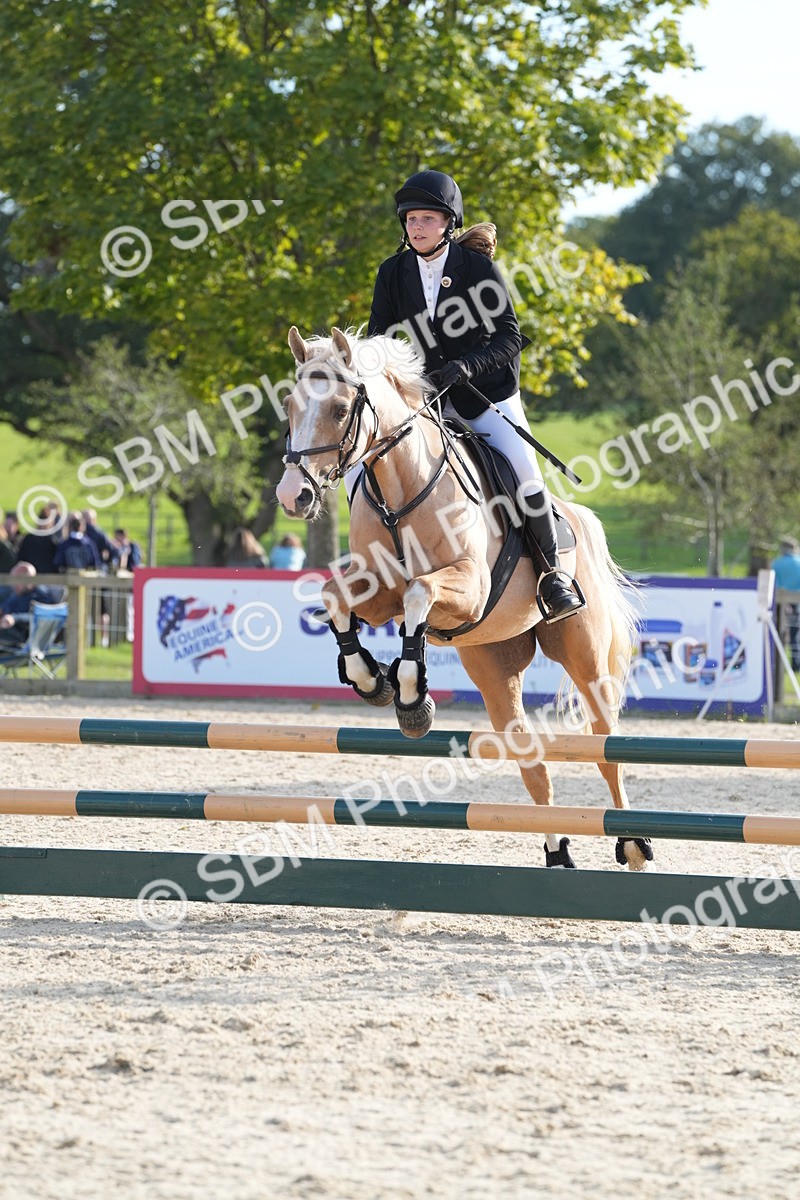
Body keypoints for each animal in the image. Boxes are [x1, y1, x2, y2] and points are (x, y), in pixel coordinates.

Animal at [276, 326, 651, 871]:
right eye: (289, 405)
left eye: (341, 409)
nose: (294, 496)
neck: (400, 490)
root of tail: (577, 516)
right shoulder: (377, 590)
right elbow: (334, 596)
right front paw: (372, 678)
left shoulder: (468, 588)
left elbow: (420, 591)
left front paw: (411, 695)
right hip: (493, 663)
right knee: (530, 758)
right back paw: (556, 852)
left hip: (584, 656)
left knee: (605, 745)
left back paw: (633, 842)